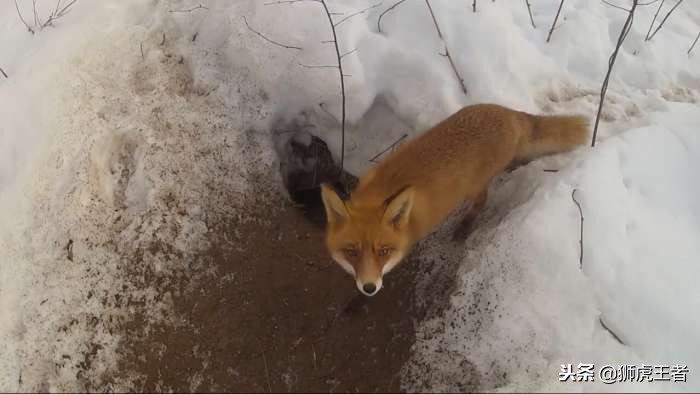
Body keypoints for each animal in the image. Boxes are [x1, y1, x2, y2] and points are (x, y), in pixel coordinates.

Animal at [320, 104, 588, 296]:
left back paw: (465, 226)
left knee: (482, 200)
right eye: (351, 251)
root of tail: (509, 113)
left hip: (472, 188)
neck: (378, 193)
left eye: (384, 251)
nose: (369, 287)